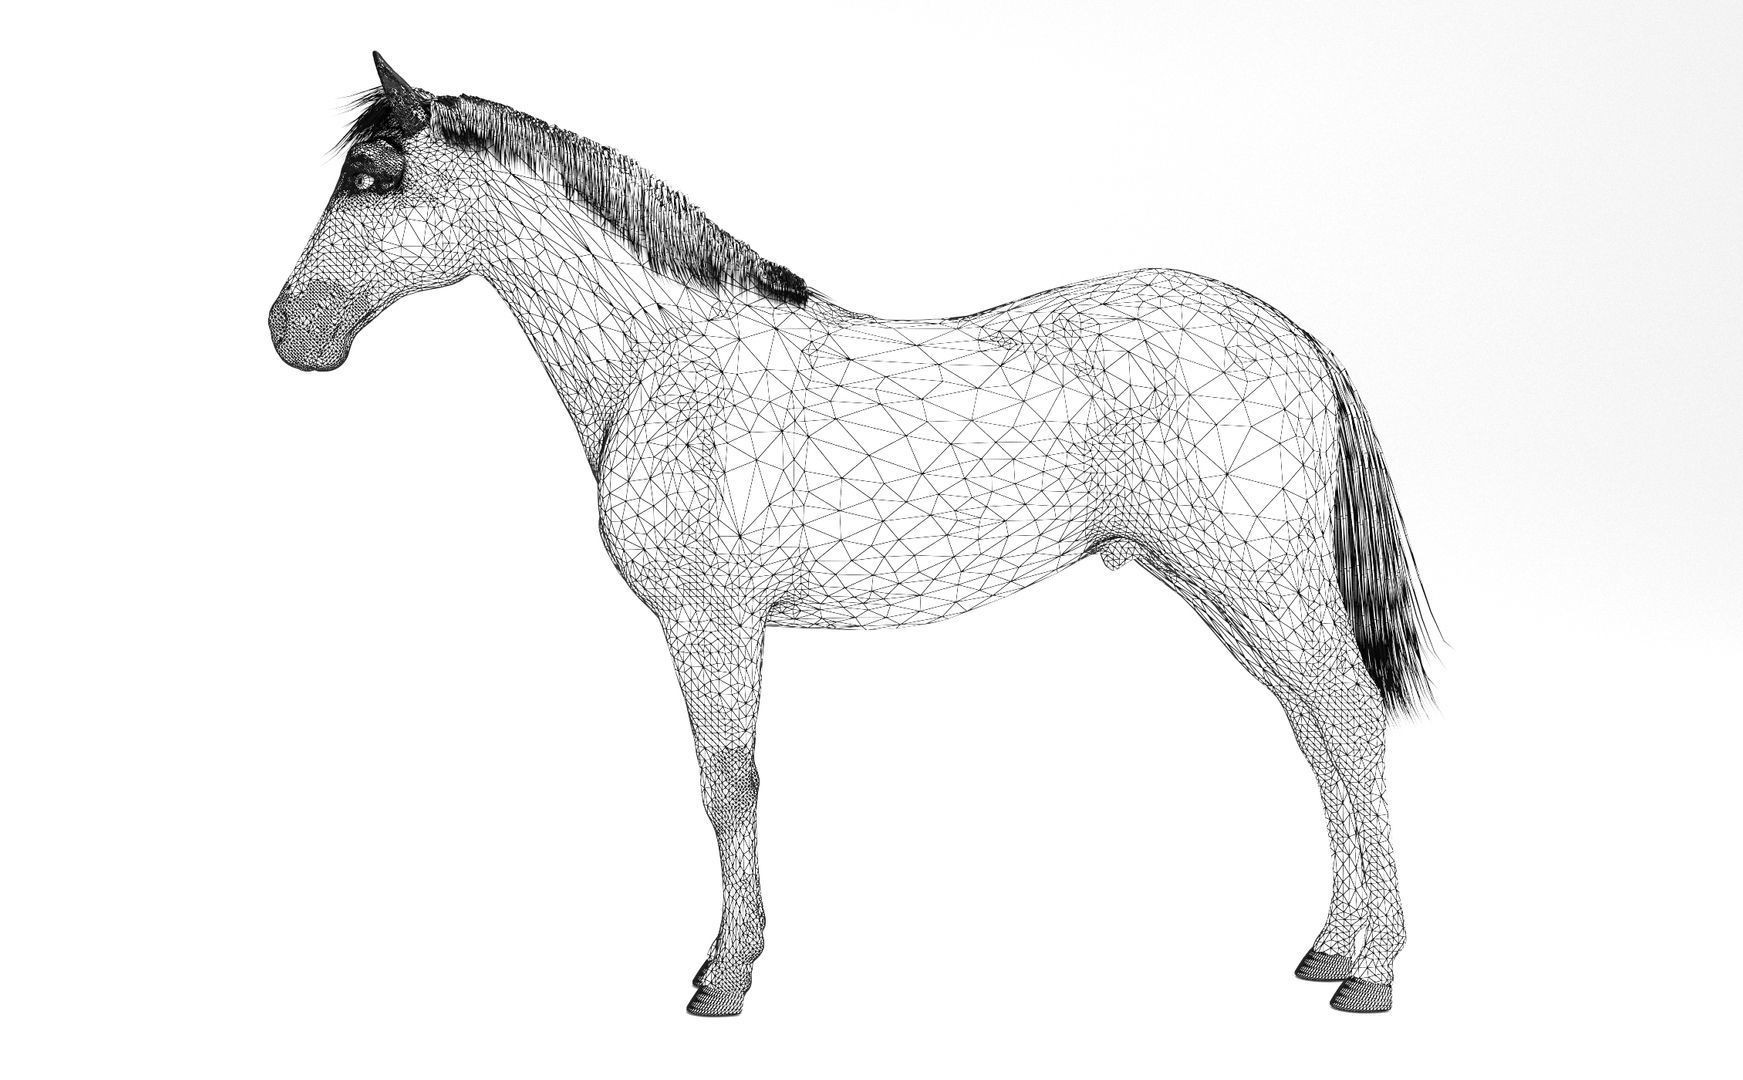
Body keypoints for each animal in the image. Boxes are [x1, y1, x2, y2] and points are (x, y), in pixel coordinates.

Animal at [269, 53, 1435, 1016]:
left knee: (1348, 720)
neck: (668, 358)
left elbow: (727, 783)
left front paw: (725, 976)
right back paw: (1329, 949)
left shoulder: (713, 619)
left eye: (372, 175)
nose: (289, 330)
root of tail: (1299, 340)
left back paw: (1371, 974)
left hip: (1257, 579)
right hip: (1227, 590)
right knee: (1318, 734)